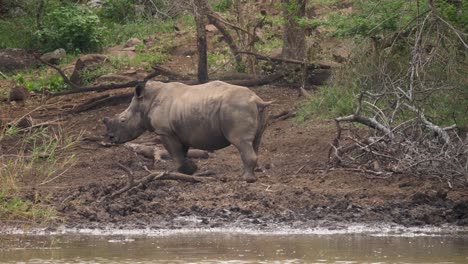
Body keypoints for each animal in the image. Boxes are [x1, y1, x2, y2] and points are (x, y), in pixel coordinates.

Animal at [102, 80, 270, 183]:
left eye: (123, 120)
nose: (111, 137)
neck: (145, 102)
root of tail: (257, 100)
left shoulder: (165, 131)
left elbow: (175, 153)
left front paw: (188, 170)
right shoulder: (181, 130)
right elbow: (181, 152)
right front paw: (189, 170)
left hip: (237, 107)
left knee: (241, 142)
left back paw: (246, 179)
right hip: (250, 109)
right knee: (255, 141)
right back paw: (254, 172)